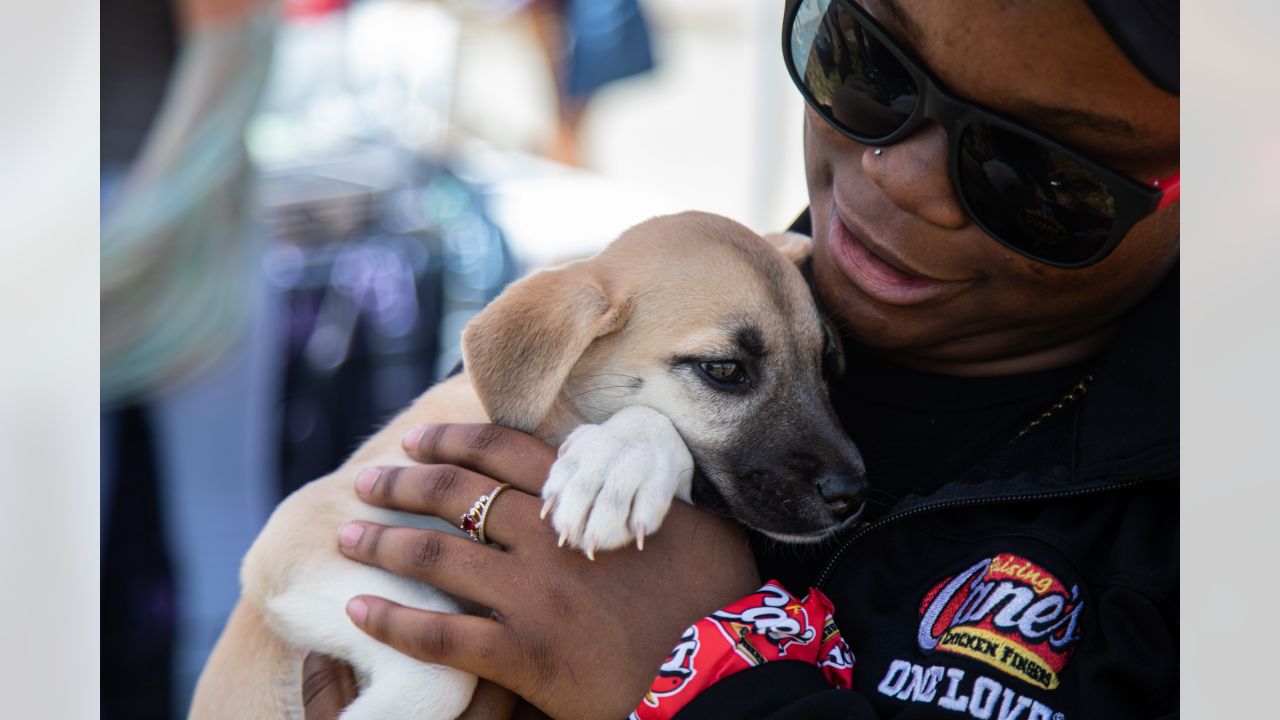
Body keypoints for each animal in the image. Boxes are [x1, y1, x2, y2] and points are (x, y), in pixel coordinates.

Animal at [189, 211, 865, 717]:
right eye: (724, 370)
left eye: (827, 365)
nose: (852, 495)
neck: (553, 421)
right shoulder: (303, 532)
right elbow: (443, 672)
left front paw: (614, 465)